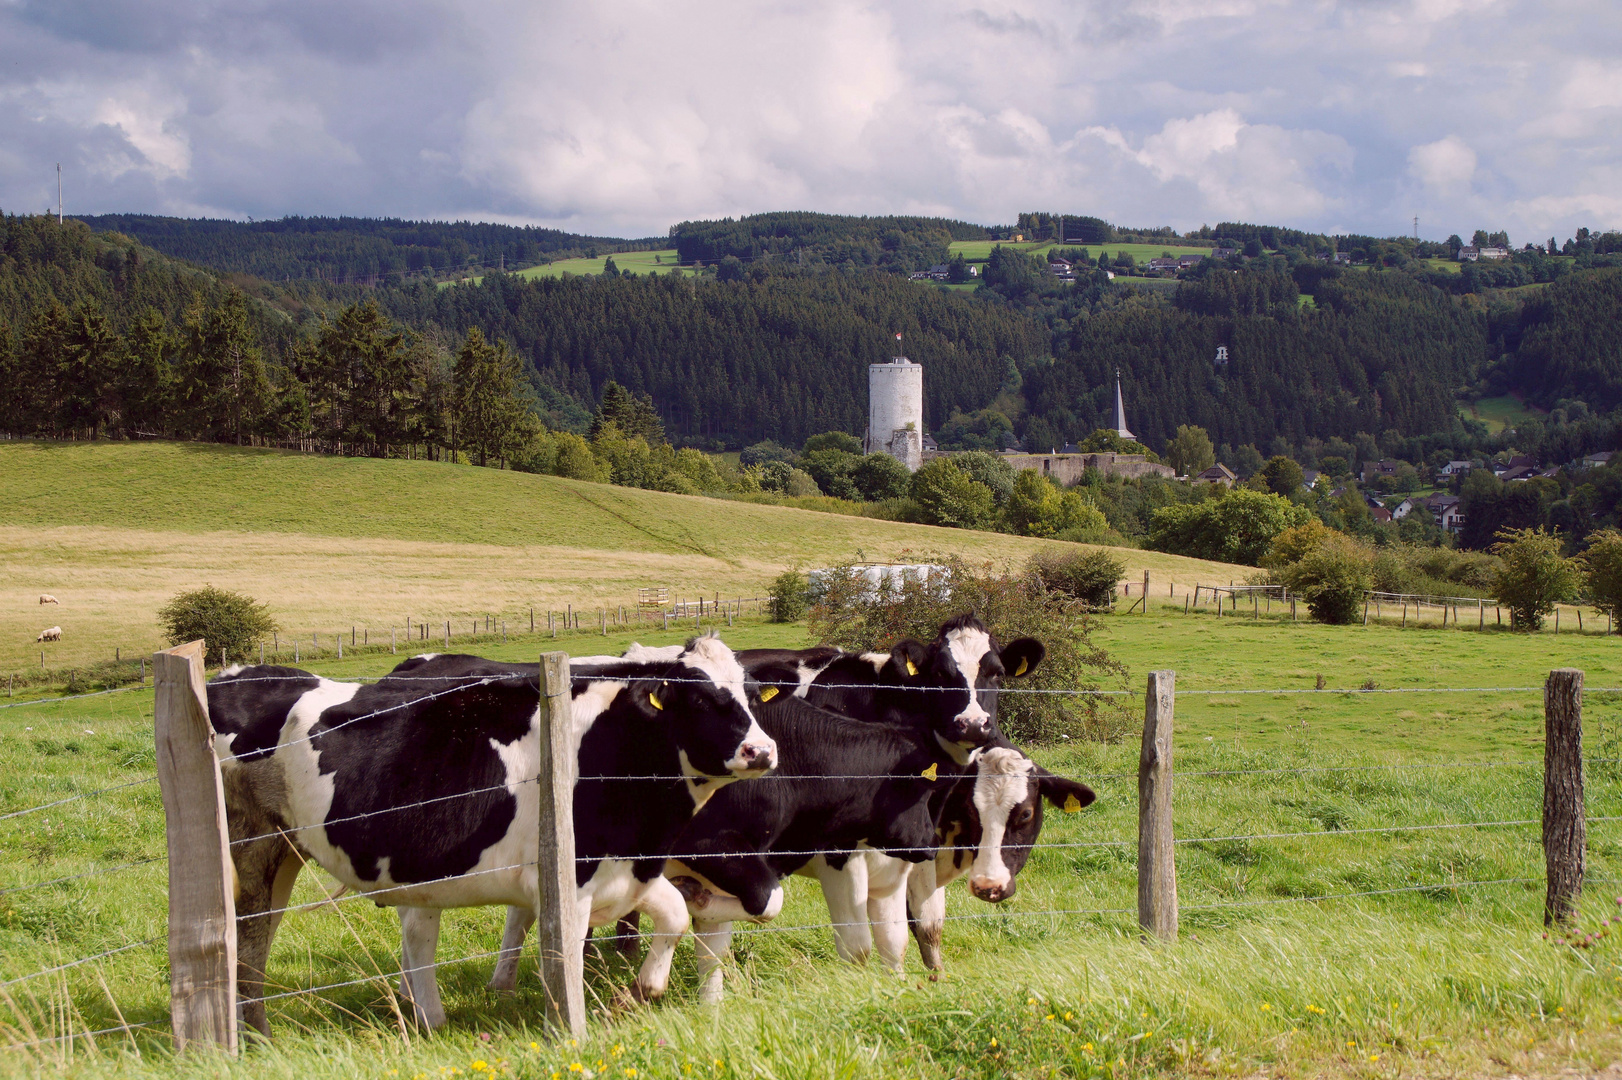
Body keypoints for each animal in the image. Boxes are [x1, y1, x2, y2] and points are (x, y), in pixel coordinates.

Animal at [210, 632, 778, 1037]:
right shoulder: (567, 880)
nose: (762, 751)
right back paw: (256, 1036)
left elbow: (677, 915)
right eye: (699, 700)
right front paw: (567, 1027)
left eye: (751, 696)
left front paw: (644, 988)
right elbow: (565, 960)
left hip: (292, 847)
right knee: (249, 935)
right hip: (251, 843)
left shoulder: (624, 871)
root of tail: (238, 674)